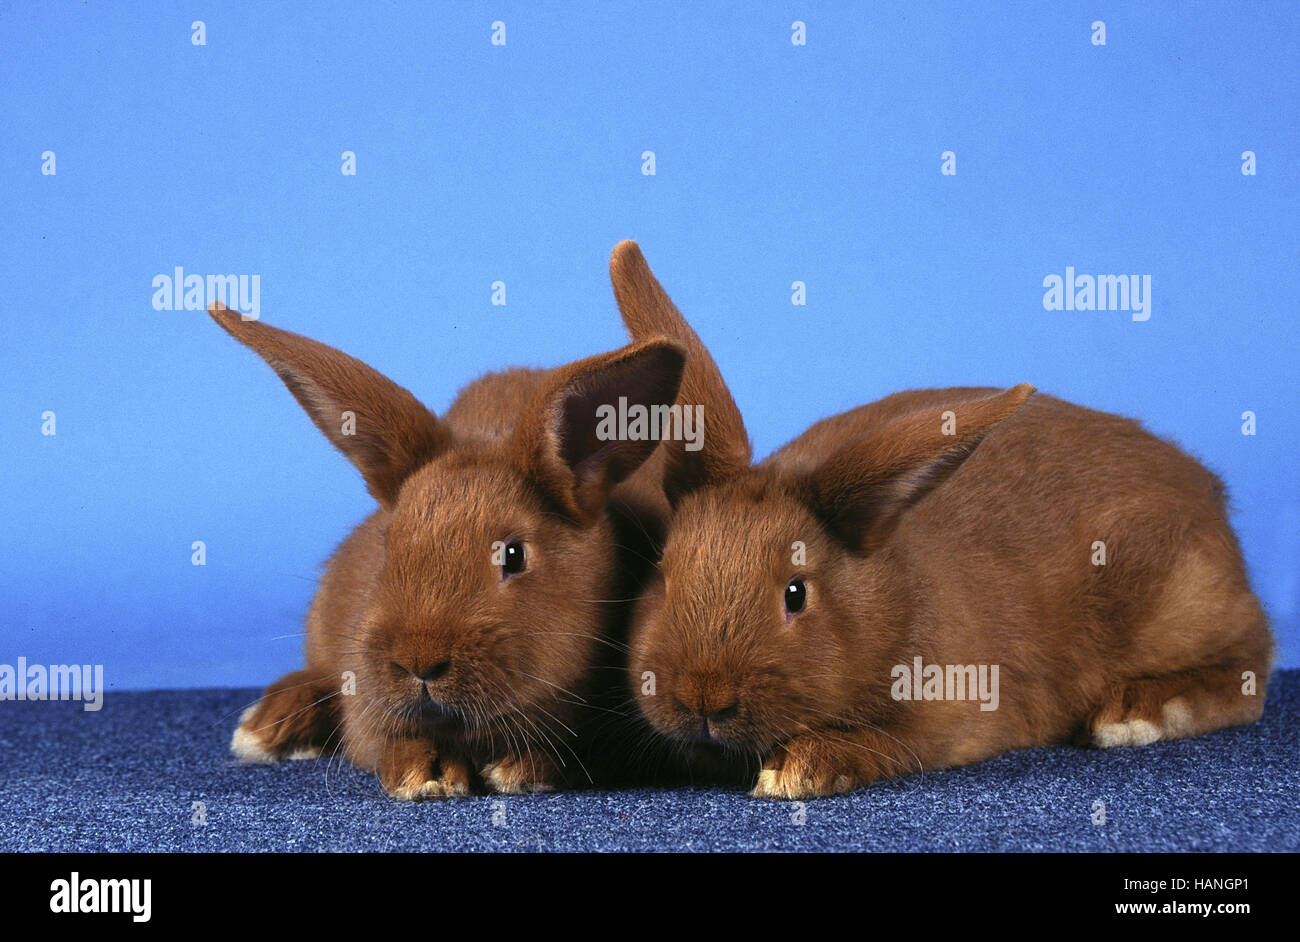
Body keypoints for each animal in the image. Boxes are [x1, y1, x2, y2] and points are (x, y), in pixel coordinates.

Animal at [208, 300, 686, 799]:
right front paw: (427, 773)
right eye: (387, 543)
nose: (419, 663)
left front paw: (521, 768)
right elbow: (382, 736)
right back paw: (267, 726)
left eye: (513, 555)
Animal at [607, 241, 1274, 799]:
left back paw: (1132, 715)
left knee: (1251, 666)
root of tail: (1207, 492)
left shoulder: (956, 712)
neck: (889, 604)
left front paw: (800, 770)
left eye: (796, 593)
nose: (703, 697)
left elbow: (893, 742)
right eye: (663, 571)